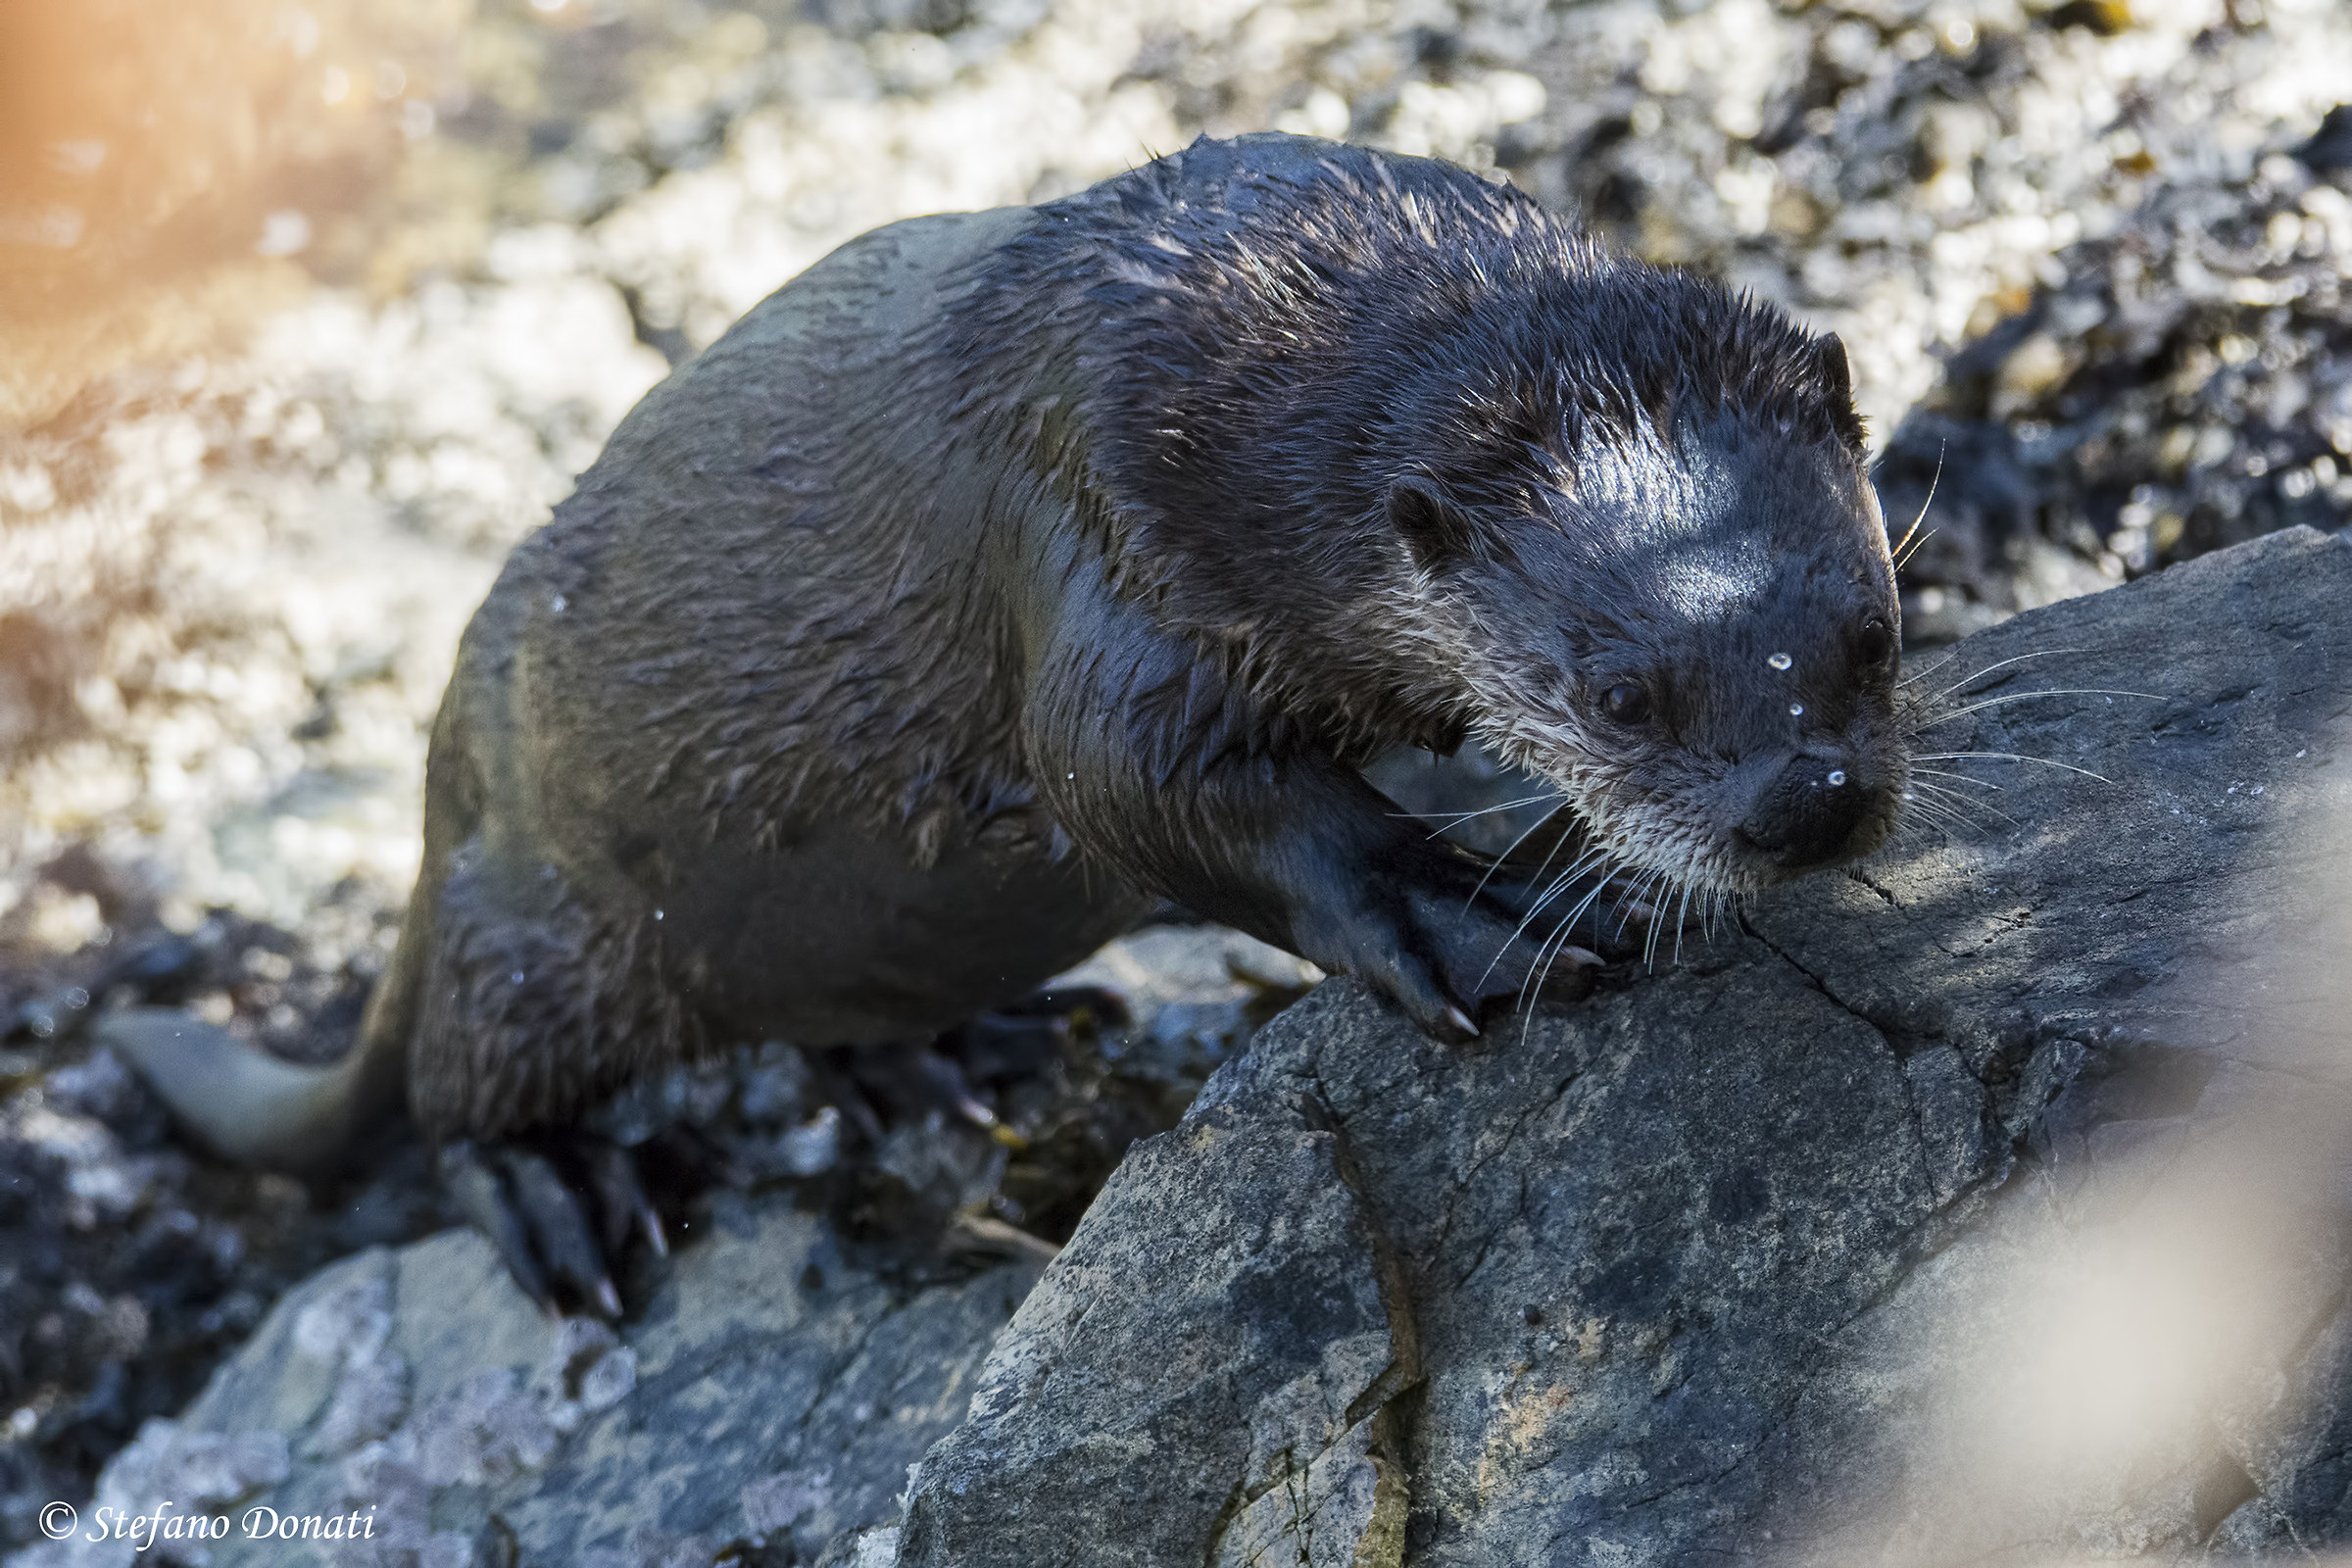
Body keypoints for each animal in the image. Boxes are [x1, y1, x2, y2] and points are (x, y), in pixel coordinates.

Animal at [100, 133, 1905, 1313]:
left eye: (1874, 631)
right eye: (1617, 695)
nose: (1807, 801)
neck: (1254, 378)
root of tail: (443, 766)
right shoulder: (1100, 521)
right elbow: (1130, 778)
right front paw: (1475, 911)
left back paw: (960, 1062)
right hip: (540, 923)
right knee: (463, 1086)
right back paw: (563, 1197)